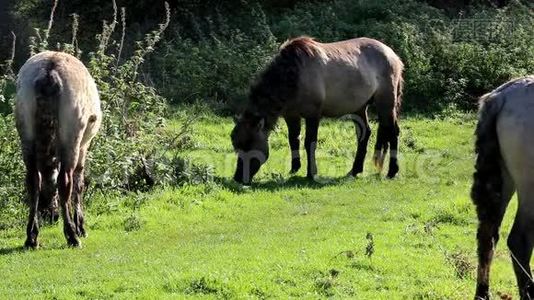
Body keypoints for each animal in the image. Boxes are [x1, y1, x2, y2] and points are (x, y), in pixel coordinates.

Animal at [15, 52, 101, 248]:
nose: (50, 215)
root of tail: (49, 71)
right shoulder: (84, 146)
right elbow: (79, 184)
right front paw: (81, 226)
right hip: (71, 137)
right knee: (65, 180)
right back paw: (72, 236)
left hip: (26, 134)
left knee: (33, 180)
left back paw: (31, 237)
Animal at [232, 36, 404, 184]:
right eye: (237, 146)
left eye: (249, 145)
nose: (238, 177)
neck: (295, 74)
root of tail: (393, 55)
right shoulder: (291, 115)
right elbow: (293, 140)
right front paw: (294, 169)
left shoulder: (313, 115)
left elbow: (310, 143)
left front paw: (311, 173)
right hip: (359, 108)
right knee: (365, 134)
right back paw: (354, 171)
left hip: (386, 103)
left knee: (392, 132)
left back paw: (392, 172)